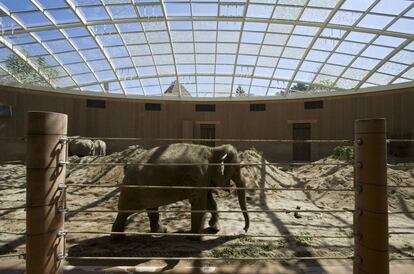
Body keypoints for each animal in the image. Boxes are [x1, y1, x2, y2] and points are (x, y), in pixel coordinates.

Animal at [110, 143, 251, 238]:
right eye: (236, 170)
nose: (244, 229)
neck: (213, 150)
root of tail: (127, 166)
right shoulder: (198, 175)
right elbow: (199, 203)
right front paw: (195, 236)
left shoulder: (203, 178)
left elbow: (210, 201)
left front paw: (214, 228)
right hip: (132, 189)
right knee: (124, 212)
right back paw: (118, 238)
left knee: (151, 209)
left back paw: (161, 232)